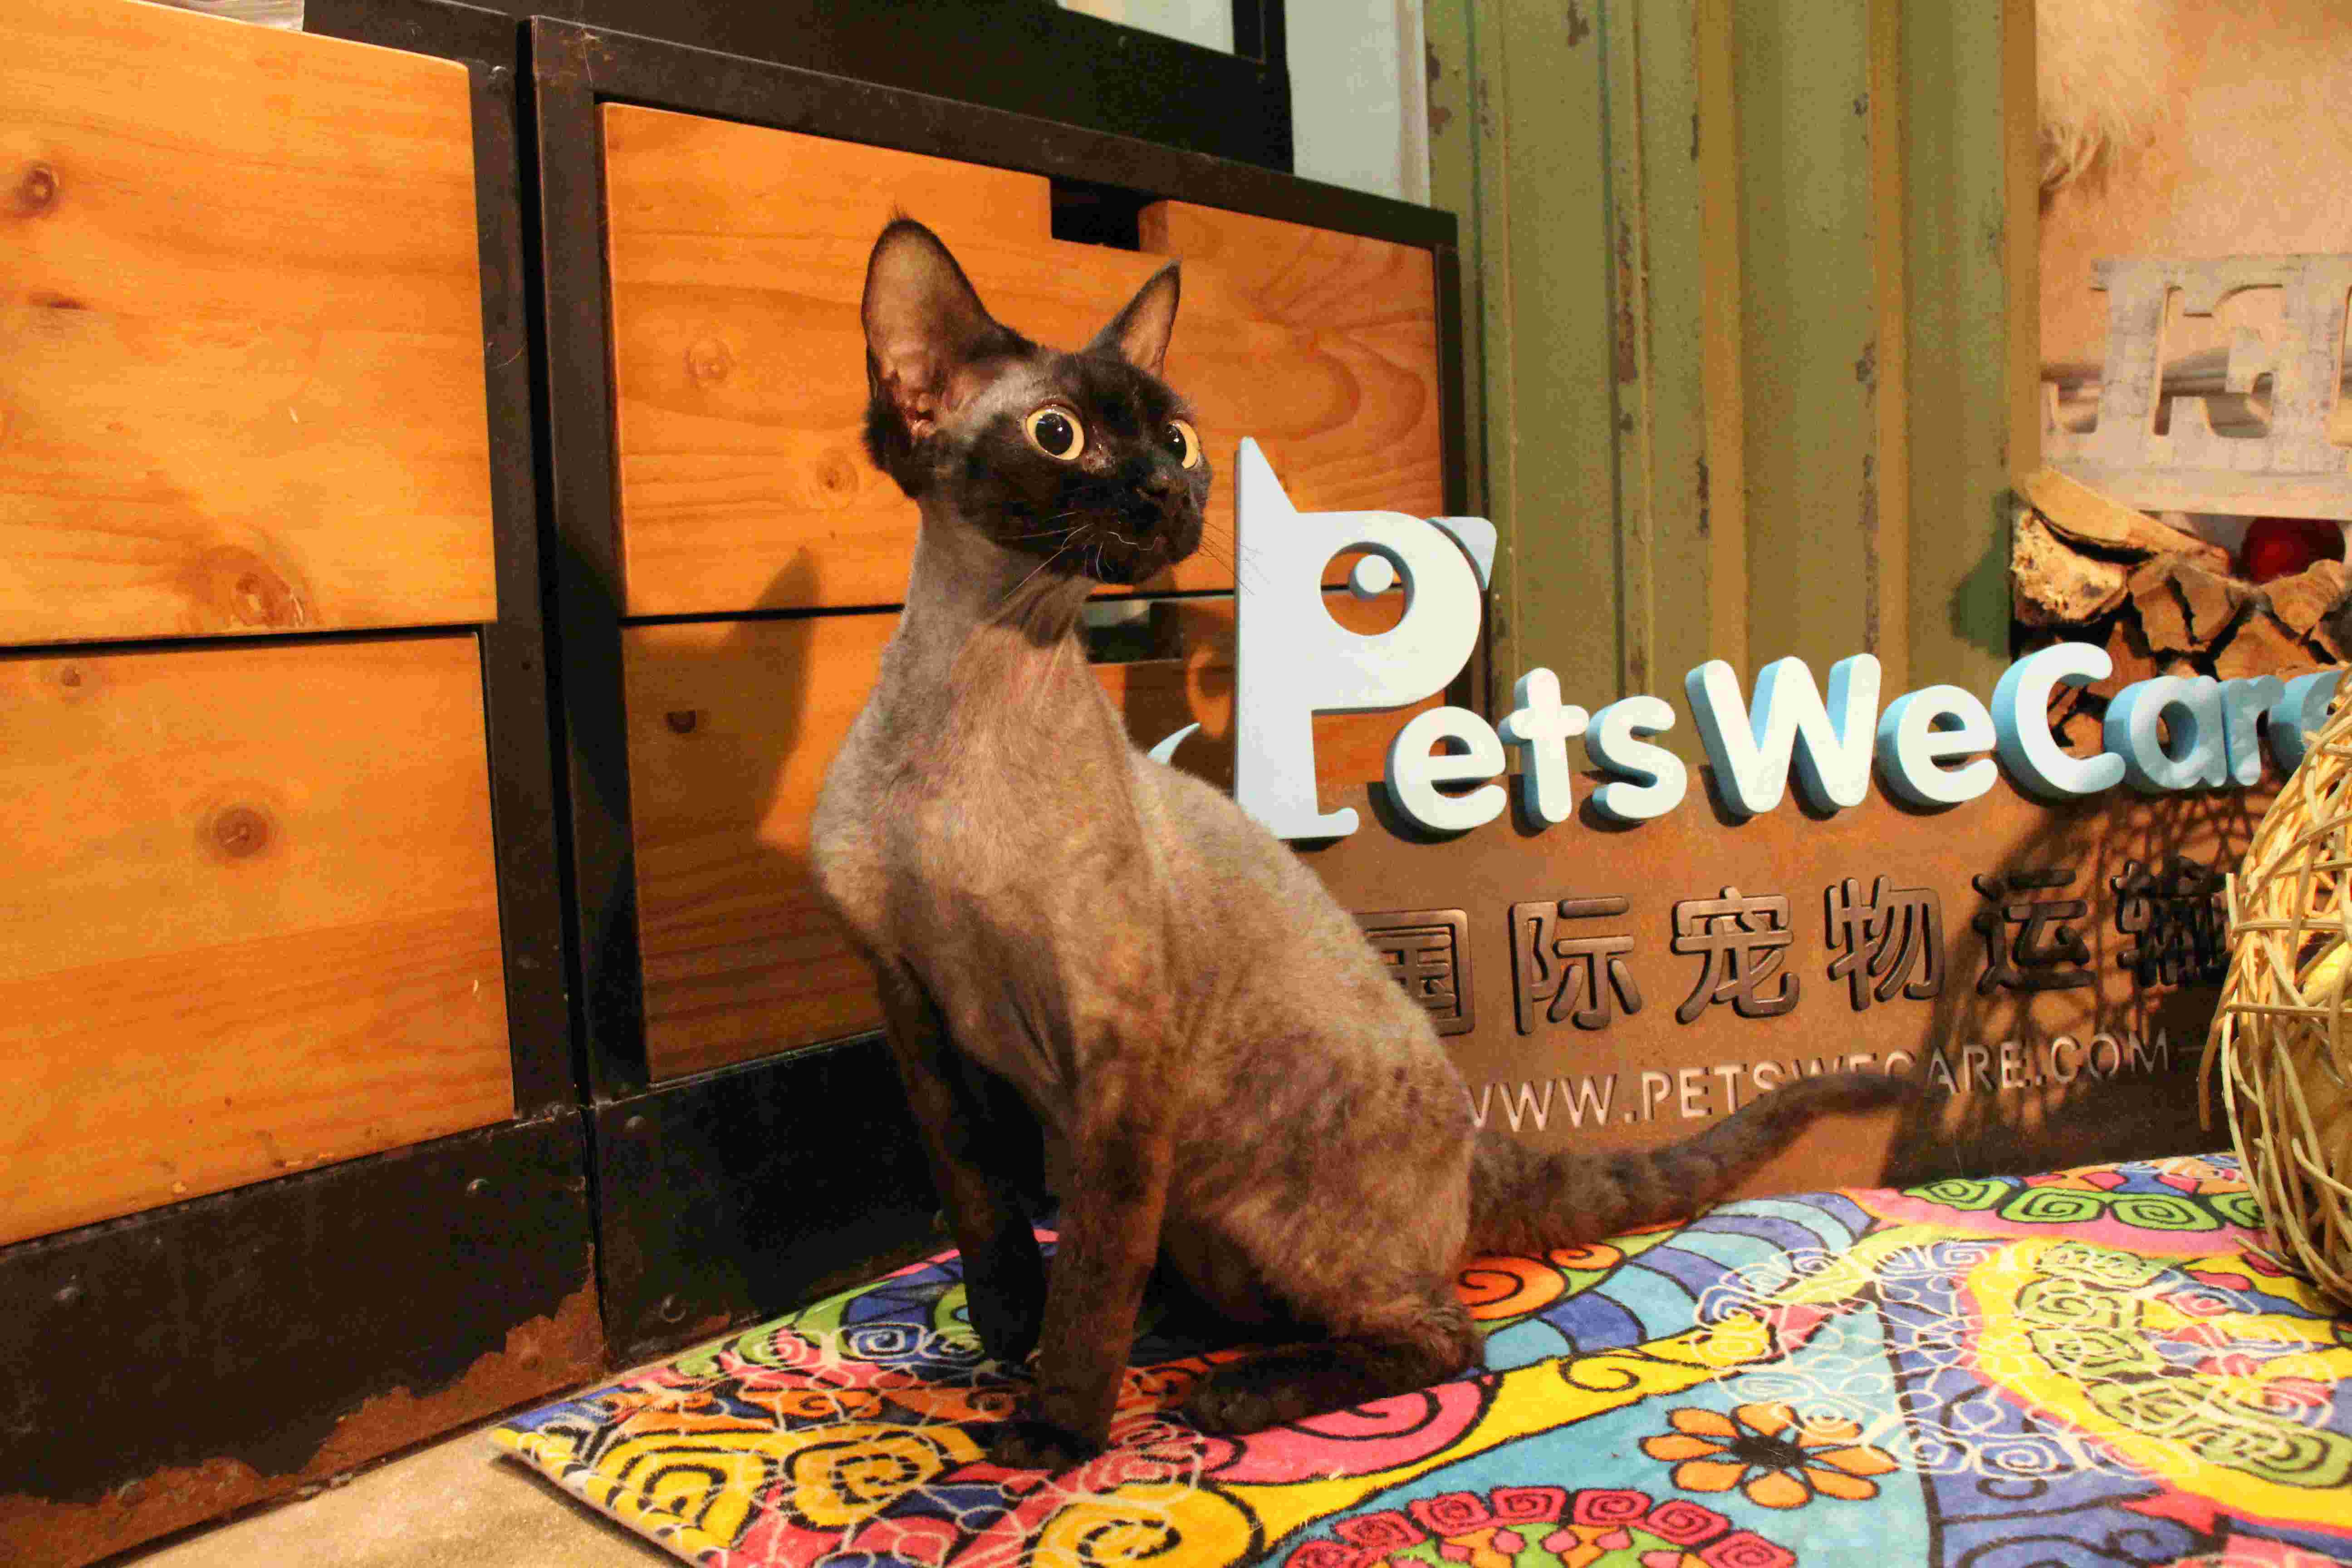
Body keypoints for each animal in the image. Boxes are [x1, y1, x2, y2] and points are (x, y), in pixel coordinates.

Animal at [811, 217, 1911, 1471]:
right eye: (1062, 435)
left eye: (1178, 438)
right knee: (1204, 1281)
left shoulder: (1118, 1048)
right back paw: (1171, 1330)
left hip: (1263, 1205)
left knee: (1438, 1336)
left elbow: (1089, 1262)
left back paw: (1227, 1393)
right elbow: (989, 1213)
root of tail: (1477, 1145)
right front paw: (1001, 1344)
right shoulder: (917, 1014)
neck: (981, 688)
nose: (1165, 492)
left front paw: (1054, 1433)